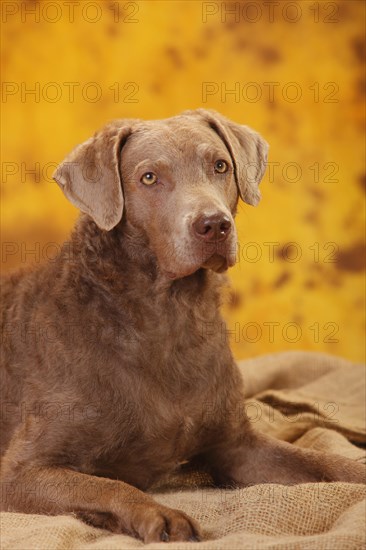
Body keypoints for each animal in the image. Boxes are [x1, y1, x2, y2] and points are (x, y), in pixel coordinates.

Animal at [0, 110, 364, 544]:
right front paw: (163, 516)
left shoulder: (237, 447)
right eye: (148, 177)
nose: (214, 224)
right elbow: (107, 485)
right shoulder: (20, 471)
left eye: (220, 166)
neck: (169, 314)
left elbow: (322, 461)